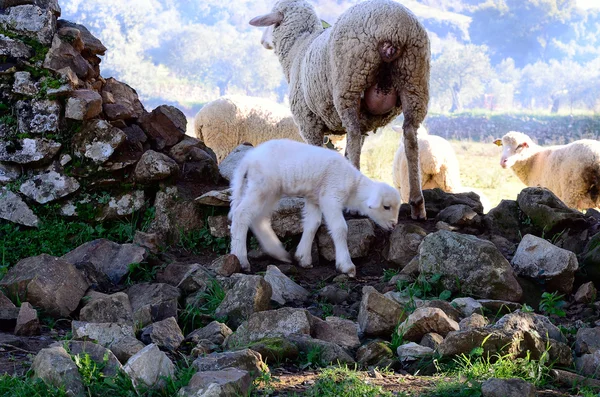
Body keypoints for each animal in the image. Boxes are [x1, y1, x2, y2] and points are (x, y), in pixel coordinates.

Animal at [230, 138, 404, 276]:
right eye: (386, 207)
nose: (394, 225)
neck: (353, 186)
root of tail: (248, 159)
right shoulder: (330, 198)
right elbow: (340, 228)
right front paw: (346, 266)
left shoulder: (315, 199)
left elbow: (312, 225)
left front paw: (303, 258)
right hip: (262, 187)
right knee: (241, 214)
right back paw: (241, 259)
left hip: (271, 192)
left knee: (258, 220)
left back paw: (278, 253)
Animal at [248, 0, 432, 220]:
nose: (262, 41)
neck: (298, 47)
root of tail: (394, 27)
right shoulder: (365, 122)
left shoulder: (308, 122)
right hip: (414, 79)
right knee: (410, 138)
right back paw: (417, 204)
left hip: (350, 81)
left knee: (353, 134)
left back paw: (354, 208)